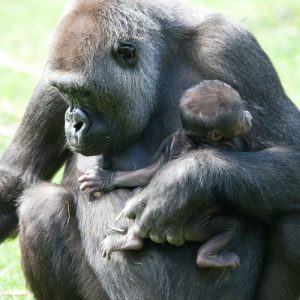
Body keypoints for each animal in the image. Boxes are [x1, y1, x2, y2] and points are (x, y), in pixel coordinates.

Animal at [78, 81, 252, 268]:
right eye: (240, 115)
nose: (248, 116)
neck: (198, 139)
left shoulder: (172, 139)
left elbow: (149, 174)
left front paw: (103, 179)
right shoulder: (230, 144)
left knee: (138, 197)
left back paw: (130, 241)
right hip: (200, 228)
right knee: (229, 227)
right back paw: (208, 257)